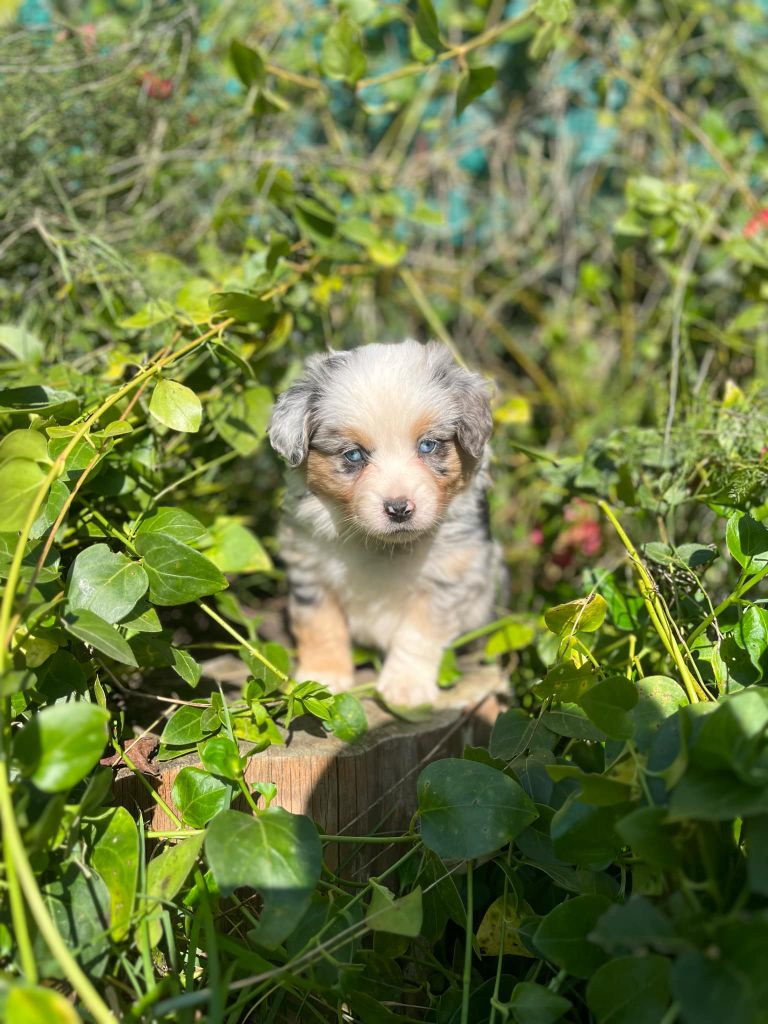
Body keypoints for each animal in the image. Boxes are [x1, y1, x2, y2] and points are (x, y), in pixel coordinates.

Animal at [267, 339, 503, 707]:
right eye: (354, 455)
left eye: (427, 445)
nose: (399, 508)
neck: (381, 546)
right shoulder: (310, 568)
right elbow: (320, 623)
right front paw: (322, 678)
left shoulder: (447, 577)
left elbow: (417, 635)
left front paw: (406, 688)